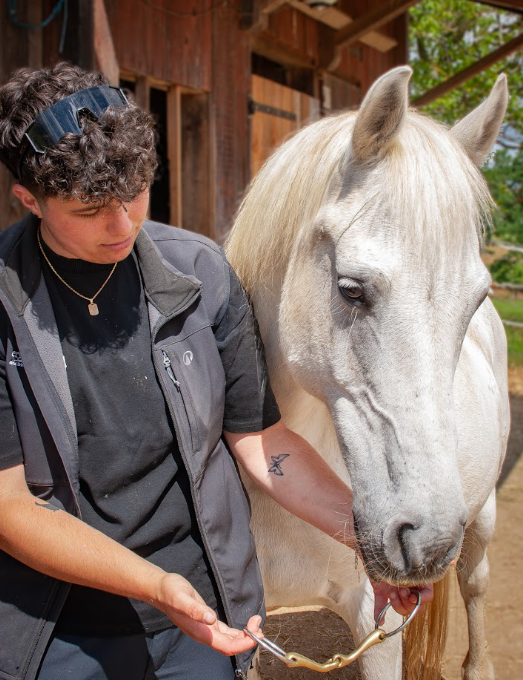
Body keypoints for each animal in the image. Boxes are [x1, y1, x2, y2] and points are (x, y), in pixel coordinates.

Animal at [226, 66, 510, 680]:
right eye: (350, 289)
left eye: (476, 299)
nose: (427, 543)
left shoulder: (377, 623)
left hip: (481, 520)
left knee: (475, 585)